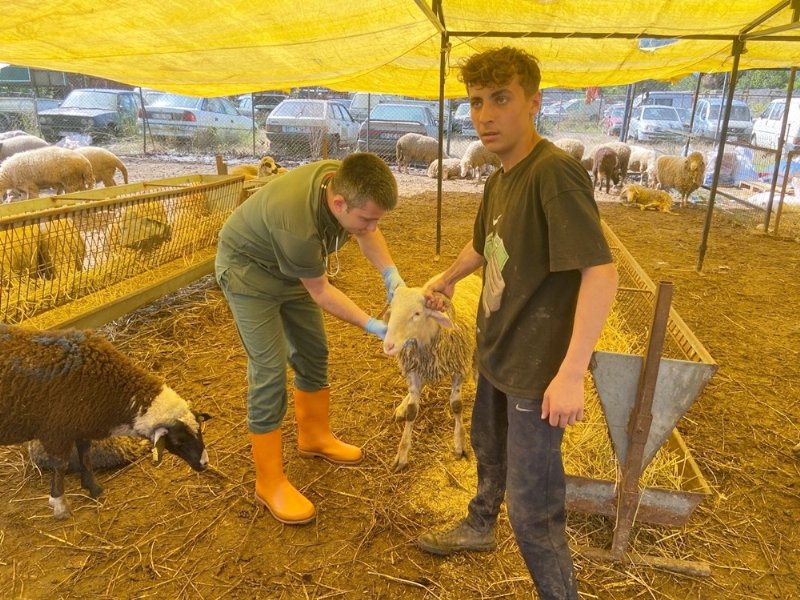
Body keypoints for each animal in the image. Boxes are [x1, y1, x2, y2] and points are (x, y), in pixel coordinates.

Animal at [0, 326, 212, 516]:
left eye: (200, 431)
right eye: (178, 441)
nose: (204, 464)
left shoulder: (80, 426)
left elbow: (85, 457)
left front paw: (93, 488)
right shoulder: (55, 431)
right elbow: (60, 465)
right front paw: (59, 504)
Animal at [382, 274, 482, 472]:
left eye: (417, 313)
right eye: (393, 310)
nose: (388, 345)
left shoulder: (459, 368)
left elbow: (456, 405)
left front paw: (460, 444)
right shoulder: (414, 370)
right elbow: (412, 410)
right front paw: (402, 454)